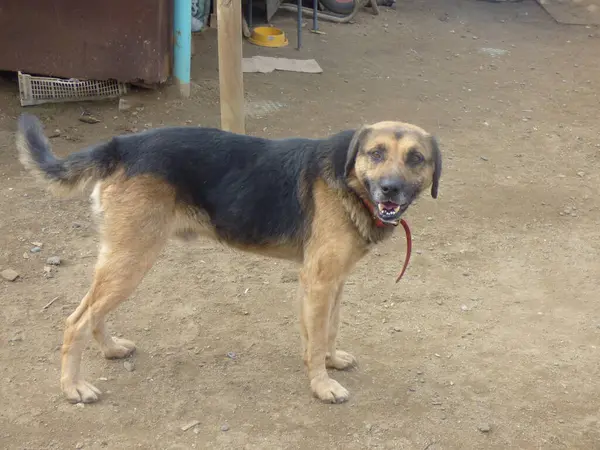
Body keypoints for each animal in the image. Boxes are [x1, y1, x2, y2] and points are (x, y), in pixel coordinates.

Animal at [15, 113, 440, 404]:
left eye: (416, 158)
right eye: (376, 153)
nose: (390, 189)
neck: (350, 179)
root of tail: (120, 145)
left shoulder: (333, 281)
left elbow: (328, 330)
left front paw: (330, 360)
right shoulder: (318, 281)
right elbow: (318, 336)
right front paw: (321, 385)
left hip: (124, 259)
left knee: (93, 312)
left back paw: (110, 349)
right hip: (132, 261)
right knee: (76, 321)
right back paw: (73, 387)